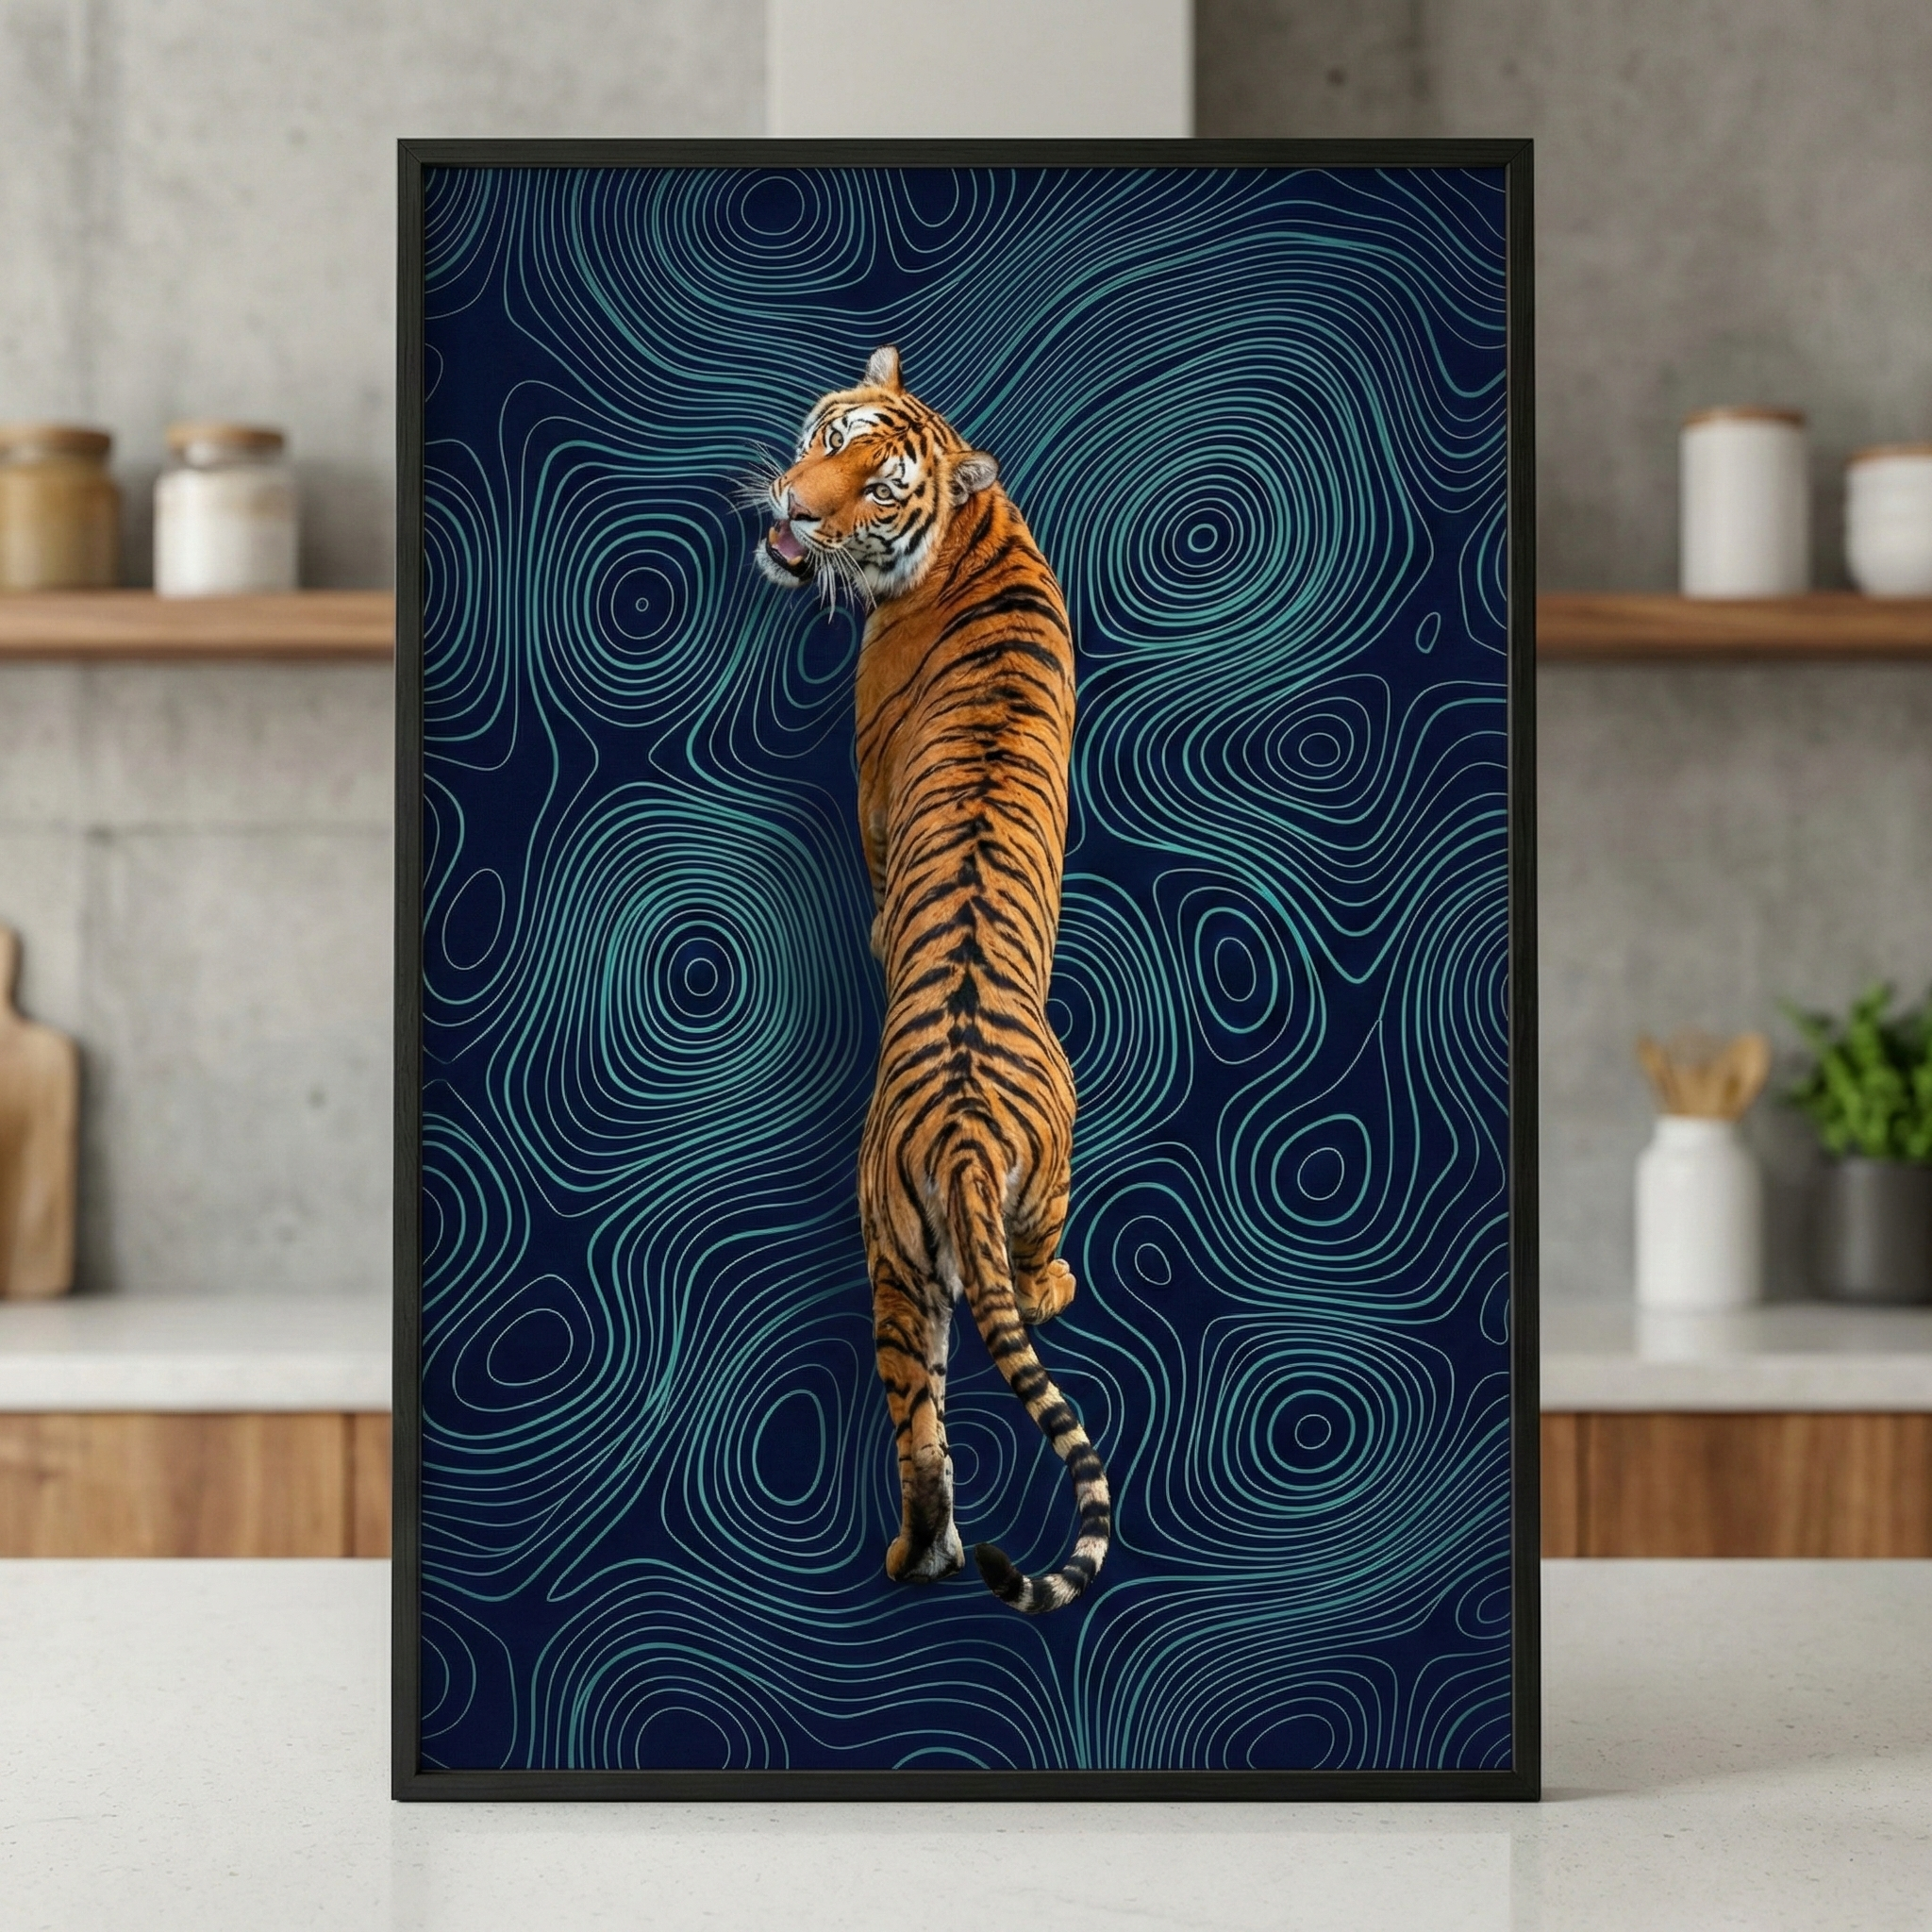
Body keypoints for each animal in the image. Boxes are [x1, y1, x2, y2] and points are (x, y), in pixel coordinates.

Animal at [752, 345, 1110, 1614]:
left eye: (875, 486)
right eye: (827, 440)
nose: (792, 508)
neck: (979, 524)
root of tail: (958, 1129)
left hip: (901, 1259)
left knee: (926, 1422)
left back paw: (917, 1554)